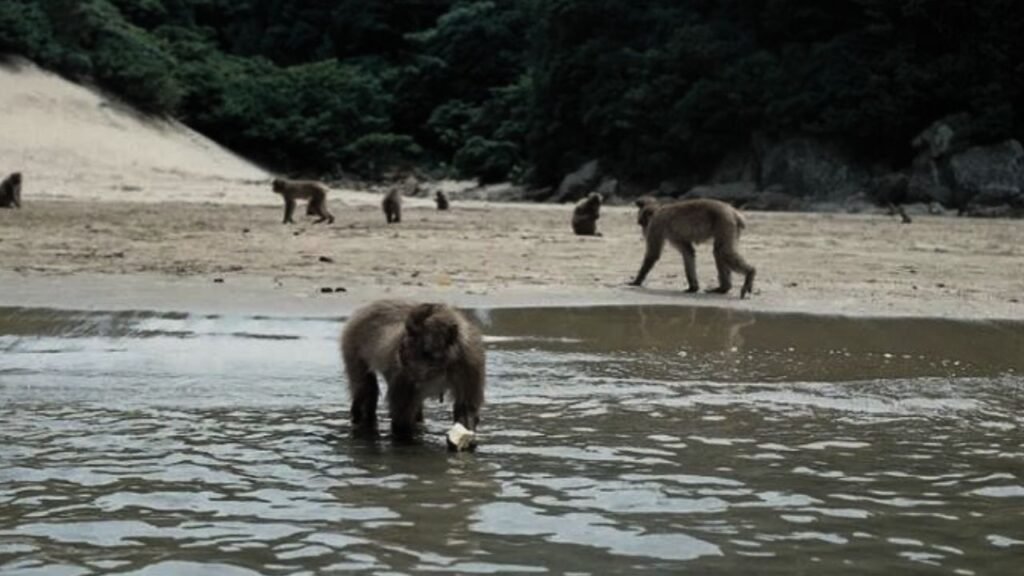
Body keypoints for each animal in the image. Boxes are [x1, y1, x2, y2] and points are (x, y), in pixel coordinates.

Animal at [342, 297, 485, 446]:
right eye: (409, 331)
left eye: (416, 333)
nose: (403, 345)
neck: (439, 366)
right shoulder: (404, 373)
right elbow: (401, 418)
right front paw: (407, 442)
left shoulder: (469, 364)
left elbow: (465, 408)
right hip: (352, 341)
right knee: (366, 389)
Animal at [626, 195, 757, 295]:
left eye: (642, 223)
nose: (644, 232)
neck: (659, 210)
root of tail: (733, 212)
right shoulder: (672, 235)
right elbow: (688, 252)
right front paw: (693, 287)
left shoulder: (657, 224)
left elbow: (653, 255)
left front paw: (636, 281)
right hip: (729, 226)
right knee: (719, 251)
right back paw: (724, 288)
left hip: (725, 221)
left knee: (722, 251)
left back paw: (750, 273)